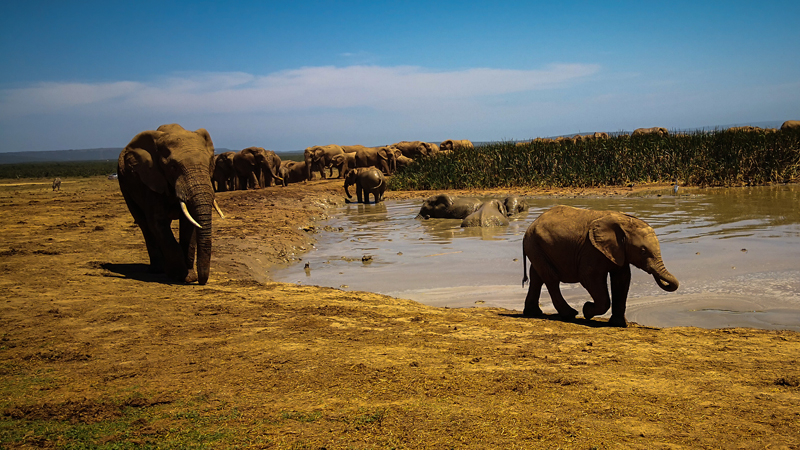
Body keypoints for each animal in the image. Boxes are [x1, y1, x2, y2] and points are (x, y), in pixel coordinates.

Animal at [115, 123, 223, 284]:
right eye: (173, 167)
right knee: (144, 224)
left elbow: (189, 223)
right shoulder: (152, 180)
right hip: (125, 186)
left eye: (209, 164)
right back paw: (157, 269)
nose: (201, 282)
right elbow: (157, 222)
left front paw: (189, 277)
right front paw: (179, 276)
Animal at [520, 205, 680, 326]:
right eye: (643, 251)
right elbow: (589, 277)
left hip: (537, 247)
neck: (624, 221)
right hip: (535, 245)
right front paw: (586, 310)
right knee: (551, 279)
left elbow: (622, 279)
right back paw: (570, 314)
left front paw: (619, 324)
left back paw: (533, 313)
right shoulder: (591, 250)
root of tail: (531, 225)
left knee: (537, 277)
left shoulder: (618, 251)